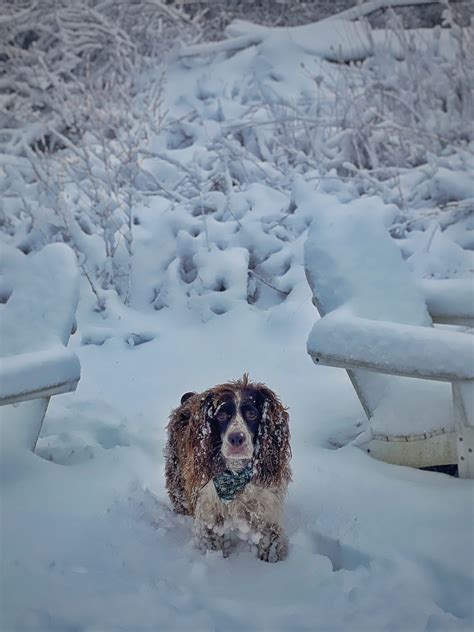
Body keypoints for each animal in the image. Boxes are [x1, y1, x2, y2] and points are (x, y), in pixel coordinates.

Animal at [165, 372, 290, 560]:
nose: (236, 438)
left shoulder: (267, 511)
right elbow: (212, 543)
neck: (236, 474)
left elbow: (270, 543)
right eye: (221, 416)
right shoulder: (209, 515)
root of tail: (189, 398)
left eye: (252, 414)